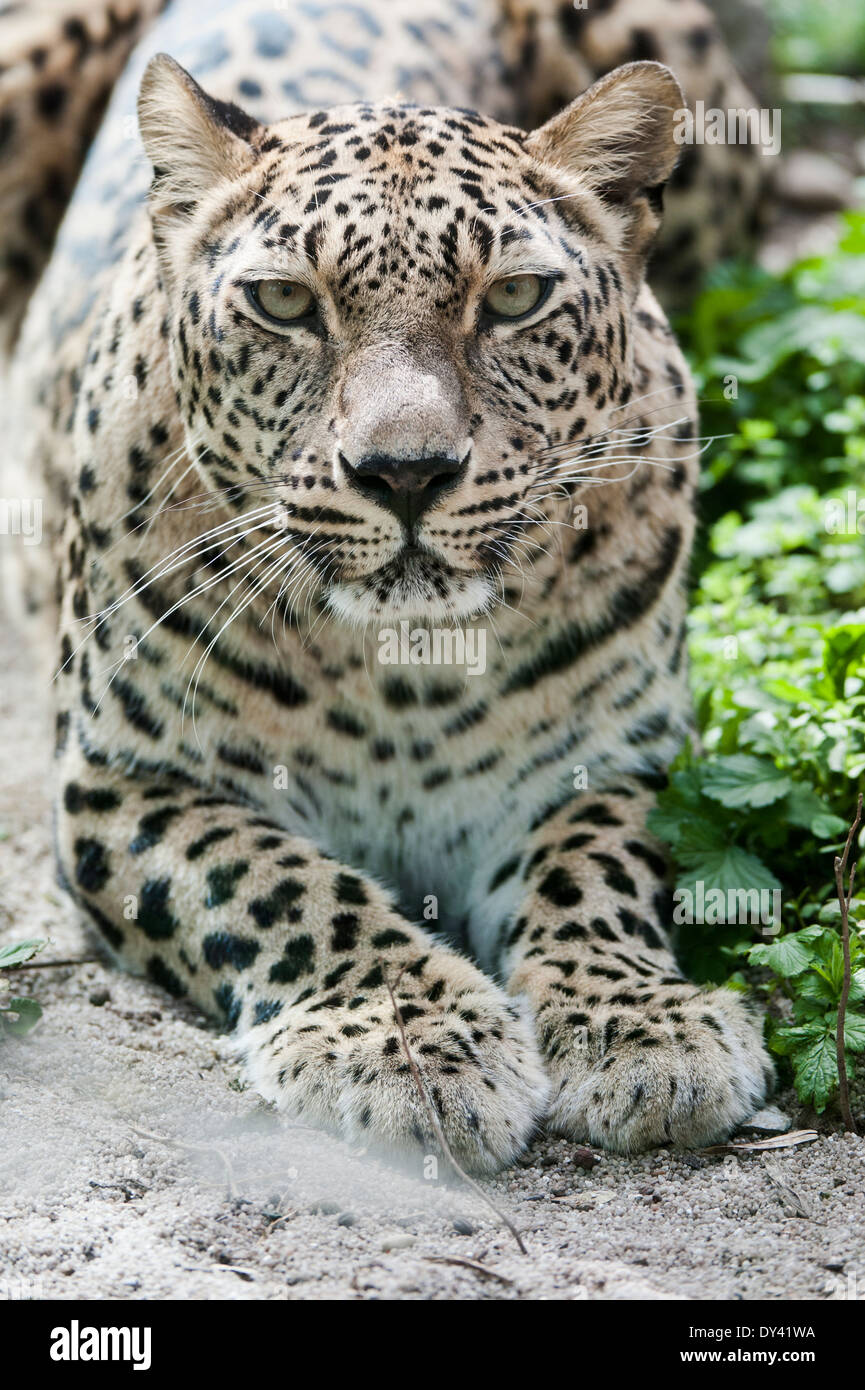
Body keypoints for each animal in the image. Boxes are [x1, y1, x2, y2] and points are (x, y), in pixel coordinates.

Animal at [0, 0, 773, 1173]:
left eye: (514, 297)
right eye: (284, 302)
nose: (405, 472)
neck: (407, 673)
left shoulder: (615, 761)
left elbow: (592, 870)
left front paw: (638, 1024)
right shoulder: (126, 779)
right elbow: (279, 883)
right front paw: (409, 1038)